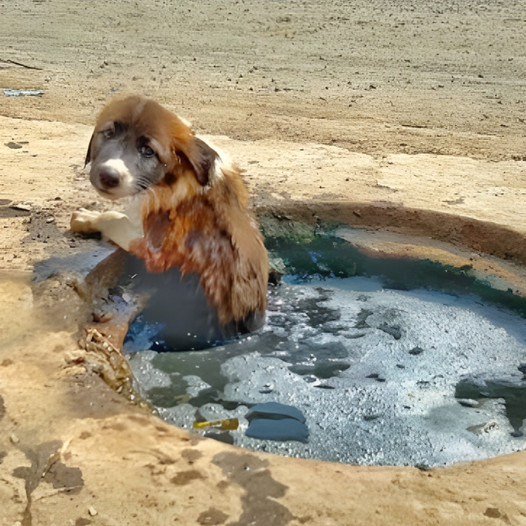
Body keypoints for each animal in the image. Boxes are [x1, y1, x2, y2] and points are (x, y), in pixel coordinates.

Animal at [72, 95, 270, 338]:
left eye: (148, 151)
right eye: (108, 133)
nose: (108, 176)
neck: (178, 172)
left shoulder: (154, 246)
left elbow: (114, 218)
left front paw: (86, 218)